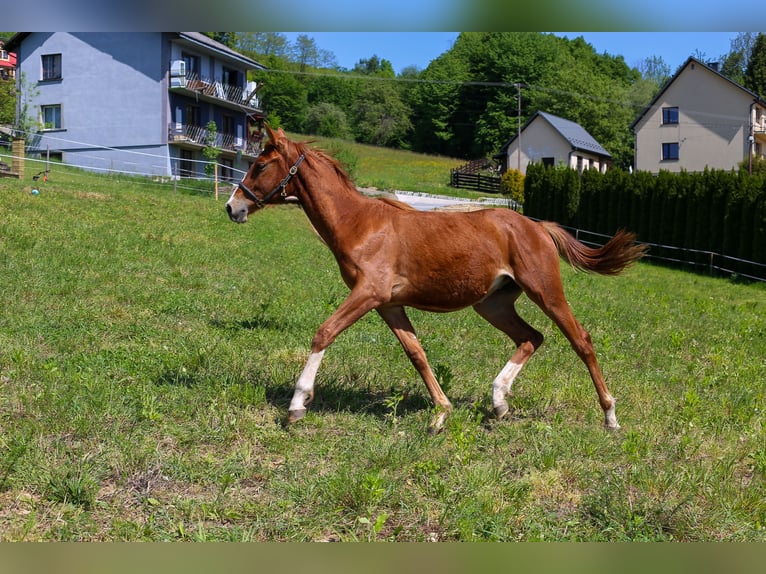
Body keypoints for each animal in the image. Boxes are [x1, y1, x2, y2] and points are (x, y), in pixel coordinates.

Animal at [228, 125, 648, 432]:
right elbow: (416, 353)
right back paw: (499, 401)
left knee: (581, 341)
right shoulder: (388, 304)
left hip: (546, 292)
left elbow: (324, 332)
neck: (359, 224)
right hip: (493, 304)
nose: (233, 207)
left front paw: (297, 404)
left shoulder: (368, 293)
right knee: (532, 337)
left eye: (260, 166)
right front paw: (441, 413)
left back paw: (610, 417)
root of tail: (539, 226)